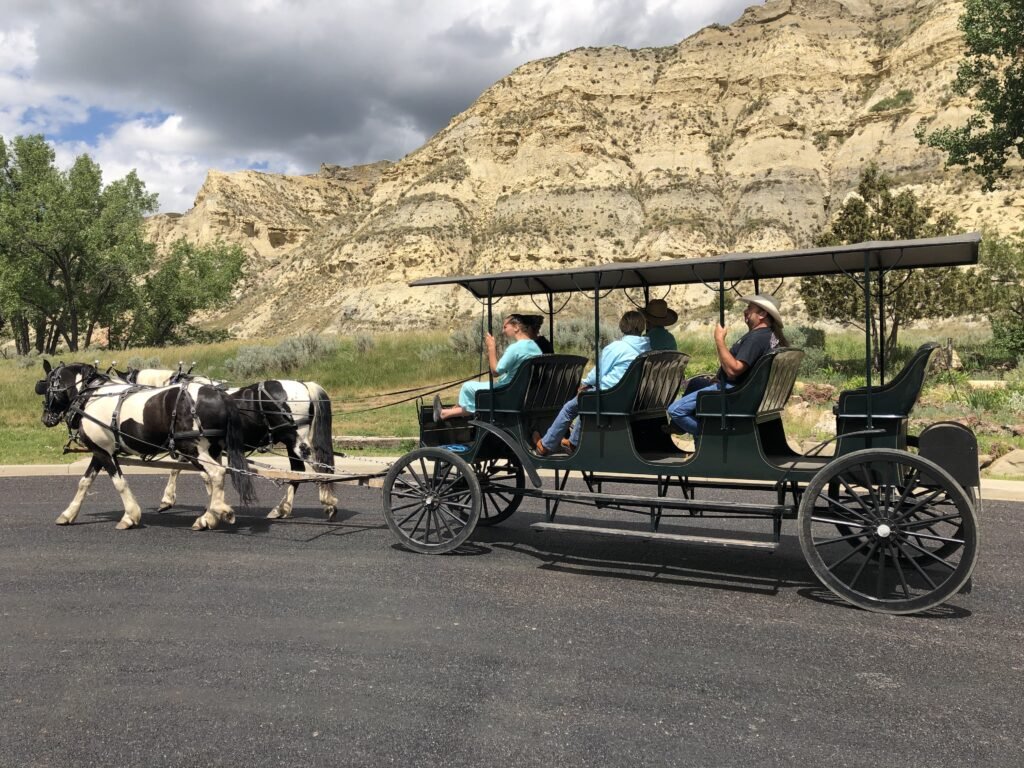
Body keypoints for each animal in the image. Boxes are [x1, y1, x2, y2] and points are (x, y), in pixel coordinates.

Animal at [39, 364, 256, 532]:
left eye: (47, 385)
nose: (45, 418)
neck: (92, 396)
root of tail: (220, 395)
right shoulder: (101, 451)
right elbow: (84, 482)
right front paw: (68, 514)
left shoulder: (104, 452)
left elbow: (119, 482)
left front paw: (130, 516)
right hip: (212, 449)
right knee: (215, 476)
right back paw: (209, 515)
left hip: (192, 448)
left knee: (217, 473)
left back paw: (219, 510)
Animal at [116, 368, 337, 524]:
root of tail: (304, 385)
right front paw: (215, 504)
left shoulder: (190, 443)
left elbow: (178, 470)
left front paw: (169, 500)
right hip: (291, 441)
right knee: (298, 472)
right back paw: (282, 509)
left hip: (296, 440)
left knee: (318, 468)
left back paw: (329, 504)